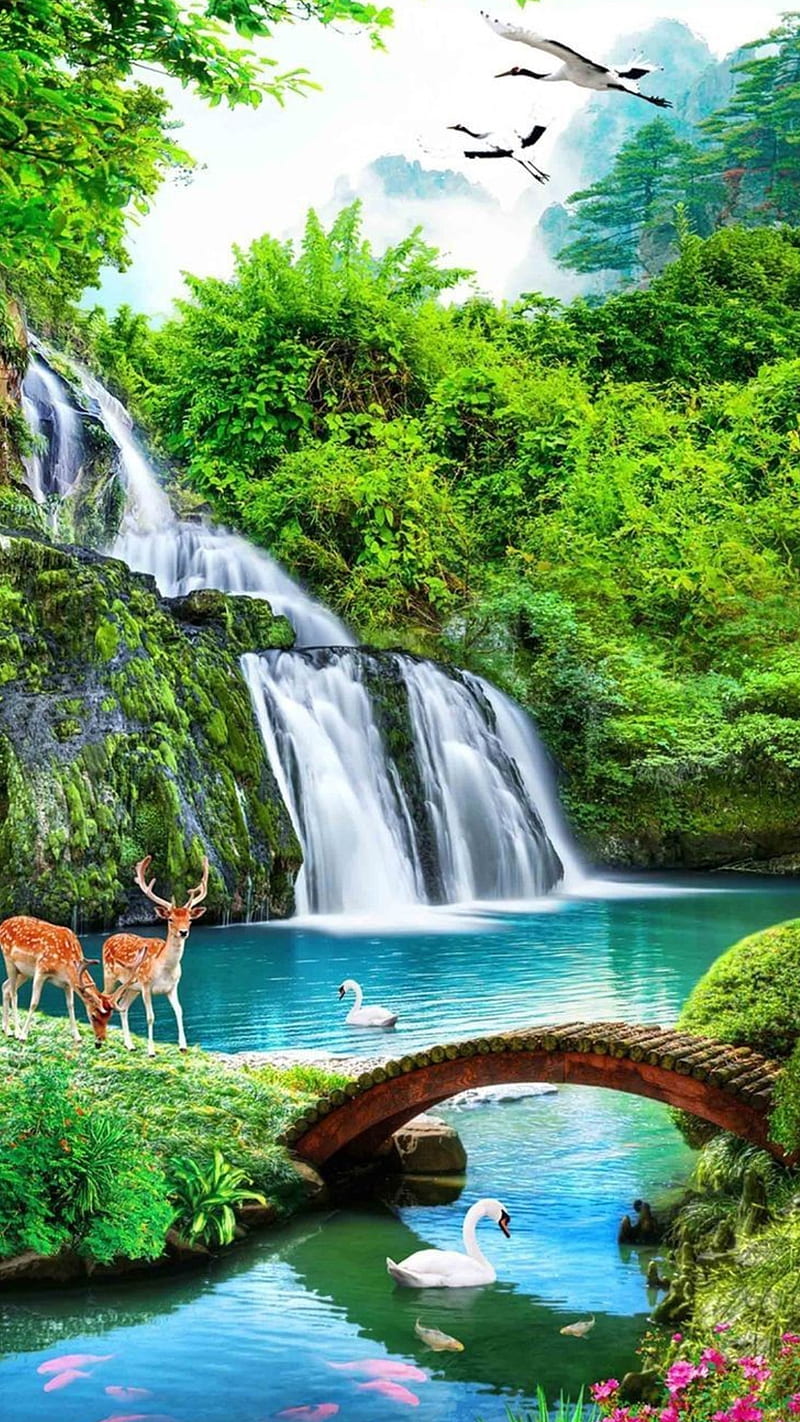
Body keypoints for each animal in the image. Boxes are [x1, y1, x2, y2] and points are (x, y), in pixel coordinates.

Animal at [0, 916, 119, 1047]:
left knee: (5, 986)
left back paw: (7, 1029)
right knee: (13, 993)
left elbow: (70, 1005)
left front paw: (77, 1037)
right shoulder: (41, 970)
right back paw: (16, 1032)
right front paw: (23, 1036)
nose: (100, 1040)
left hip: (24, 972)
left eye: (108, 1017)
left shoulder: (68, 983)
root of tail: (3, 924)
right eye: (93, 1016)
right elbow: (34, 1003)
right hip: (9, 961)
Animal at [102, 855, 209, 1056]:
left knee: (123, 1006)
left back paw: (129, 1044)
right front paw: (151, 1051)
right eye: (170, 919)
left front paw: (183, 1046)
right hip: (110, 975)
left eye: (190, 919)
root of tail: (109, 938)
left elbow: (179, 1011)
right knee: (103, 996)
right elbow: (151, 1017)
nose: (183, 932)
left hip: (131, 987)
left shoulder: (172, 987)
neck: (164, 969)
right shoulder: (145, 985)